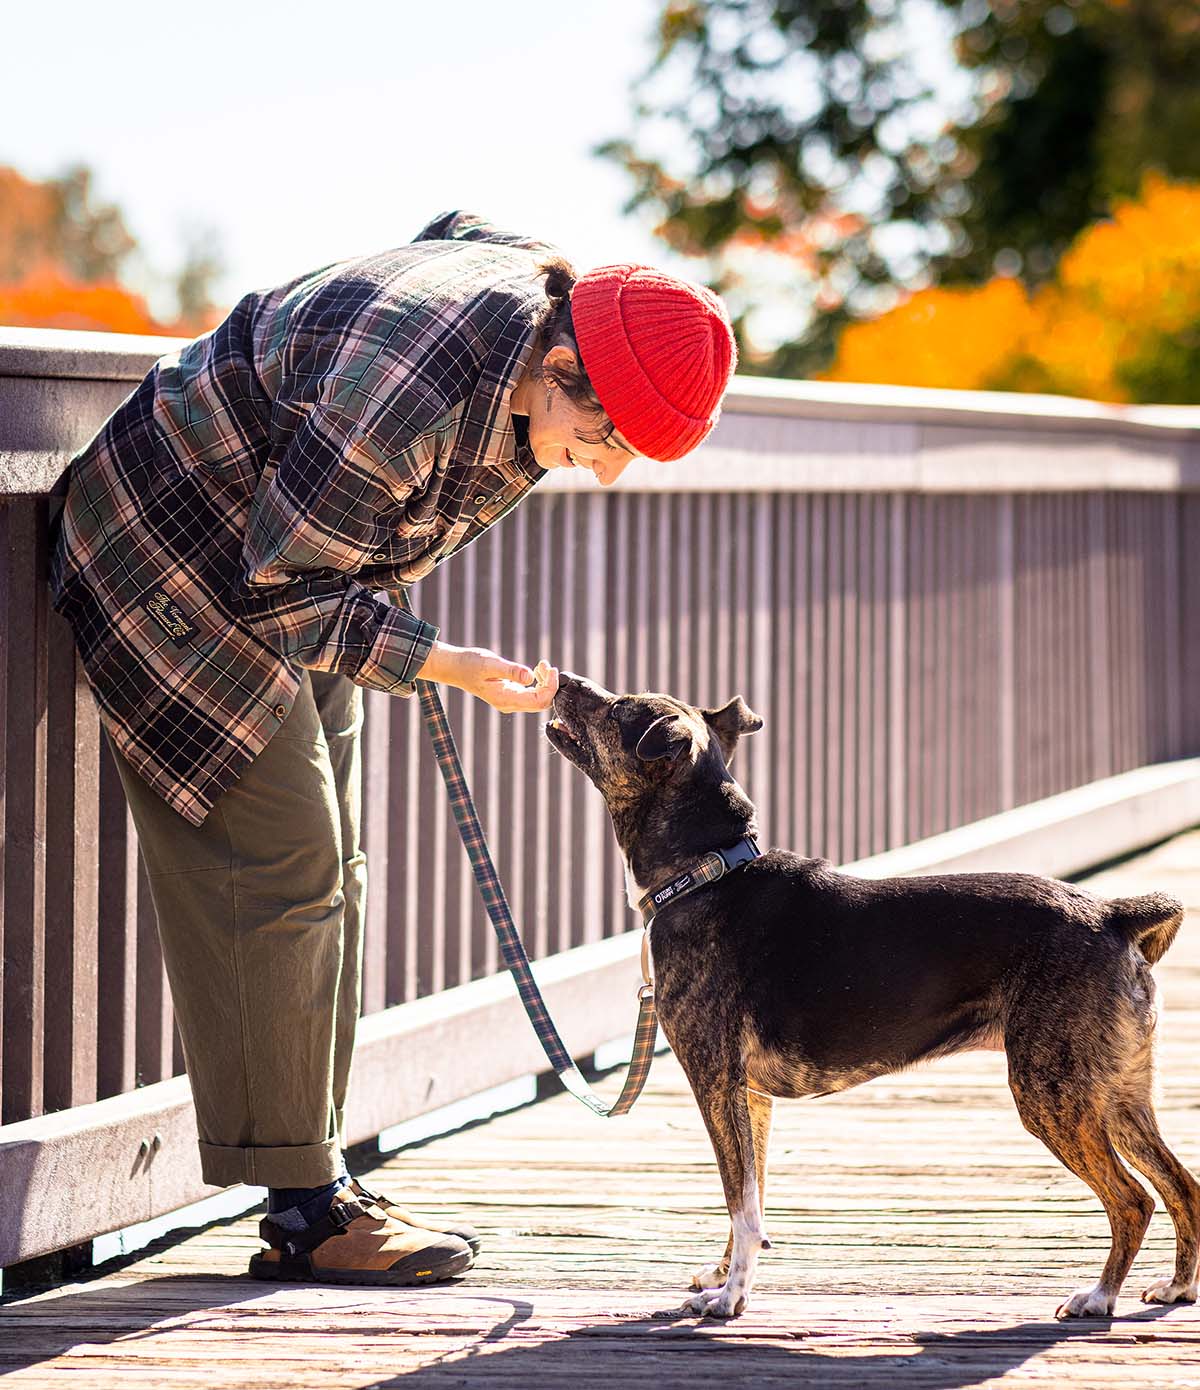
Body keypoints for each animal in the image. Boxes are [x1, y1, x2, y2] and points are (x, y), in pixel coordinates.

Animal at [547, 672, 1200, 1323]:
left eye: (618, 707)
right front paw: (722, 1274)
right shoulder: (751, 1097)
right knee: (1182, 1185)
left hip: (1051, 1092)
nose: (564, 679)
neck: (708, 873)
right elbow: (752, 1196)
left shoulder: (715, 1083)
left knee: (1133, 1199)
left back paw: (1100, 1295)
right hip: (1117, 1092)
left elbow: (741, 1200)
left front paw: (732, 1297)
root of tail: (1114, 916)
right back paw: (1176, 1287)